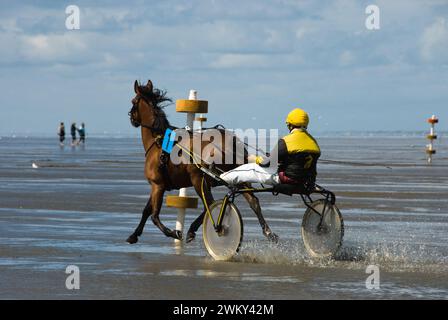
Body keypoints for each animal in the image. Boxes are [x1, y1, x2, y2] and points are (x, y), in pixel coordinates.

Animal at [124, 80, 274, 245]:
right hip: (237, 175)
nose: (131, 119)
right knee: (252, 201)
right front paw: (134, 235)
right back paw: (269, 232)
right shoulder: (156, 185)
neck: (158, 141)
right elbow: (146, 211)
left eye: (133, 101)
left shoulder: (158, 185)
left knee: (210, 204)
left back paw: (198, 229)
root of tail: (231, 141)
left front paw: (173, 232)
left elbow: (154, 216)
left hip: (198, 179)